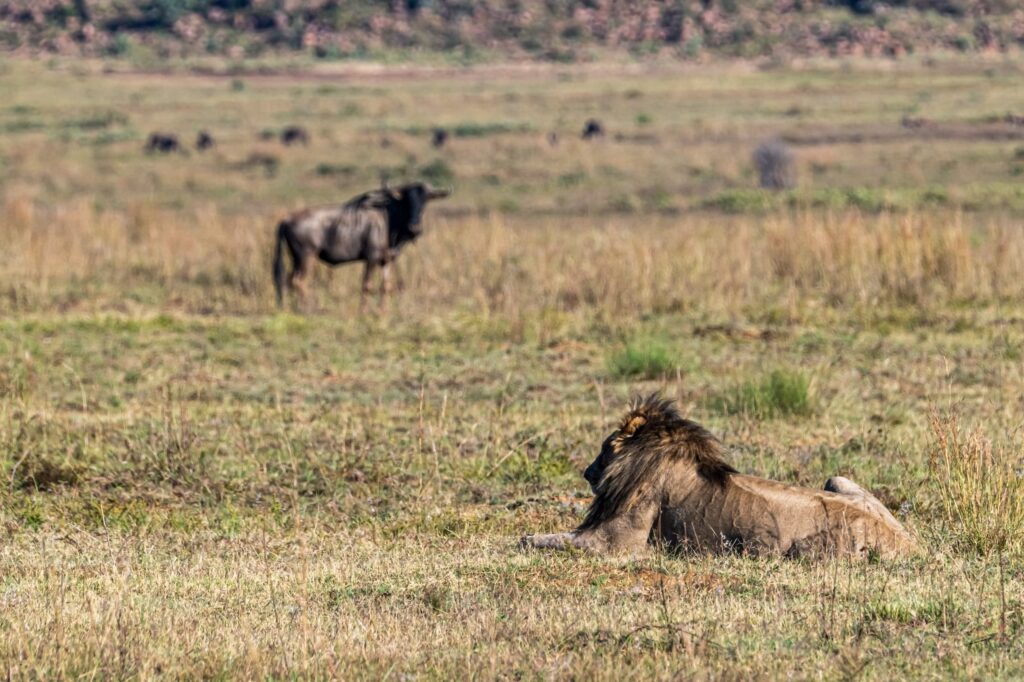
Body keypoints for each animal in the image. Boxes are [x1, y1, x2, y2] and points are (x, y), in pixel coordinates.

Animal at [524, 393, 917, 557]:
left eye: (604, 448)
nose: (586, 472)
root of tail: (910, 544)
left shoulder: (619, 542)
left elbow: (546, 540)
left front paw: (526, 538)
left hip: (801, 549)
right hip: (838, 479)